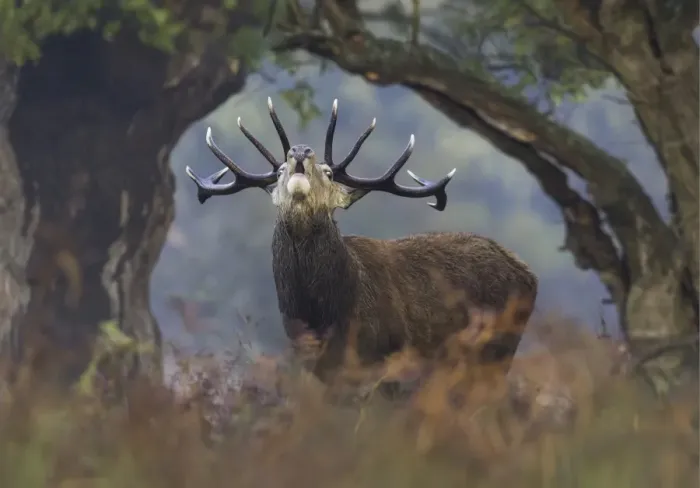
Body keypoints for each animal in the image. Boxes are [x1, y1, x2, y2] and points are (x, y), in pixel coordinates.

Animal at [185, 98, 538, 395]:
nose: (299, 150)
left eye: (329, 172)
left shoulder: (388, 363)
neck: (326, 312)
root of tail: (528, 274)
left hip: (496, 351)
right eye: (281, 170)